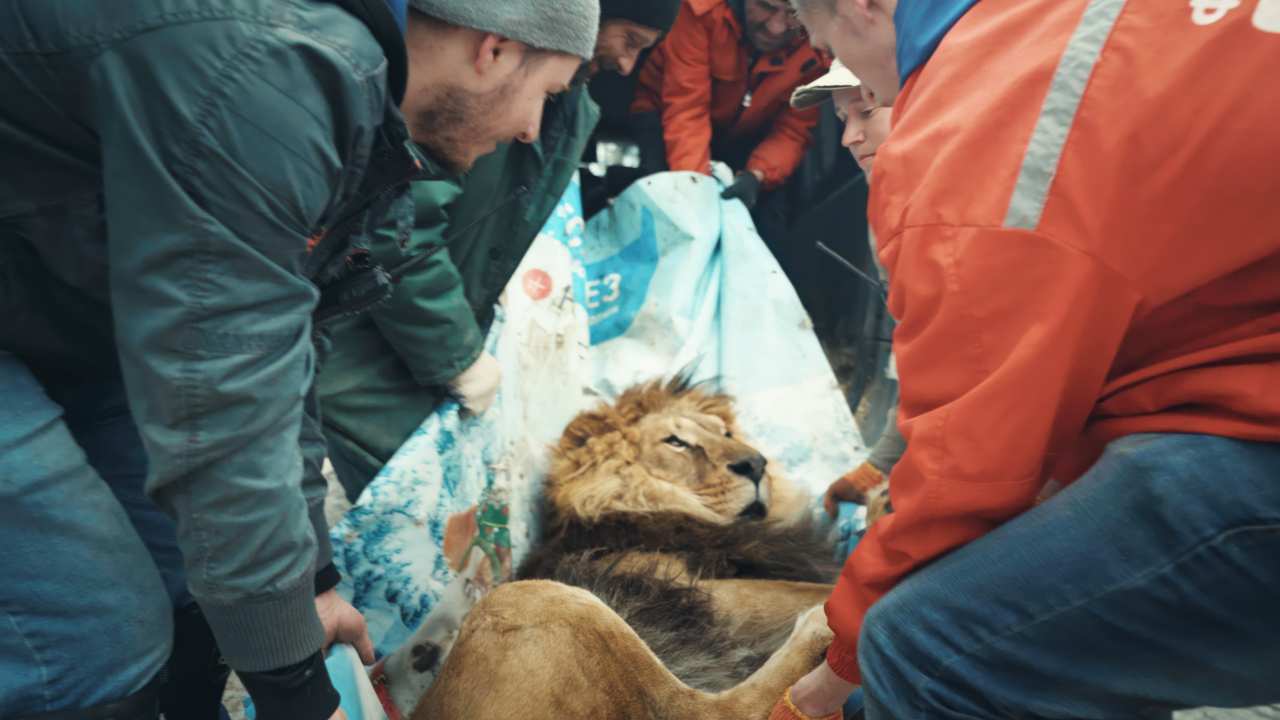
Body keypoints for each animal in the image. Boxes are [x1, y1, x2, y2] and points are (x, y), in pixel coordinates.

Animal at [410, 377, 843, 720]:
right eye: (677, 442)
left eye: (726, 434)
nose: (756, 464)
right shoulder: (704, 590)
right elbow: (800, 590)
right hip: (538, 599)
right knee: (711, 710)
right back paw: (820, 627)